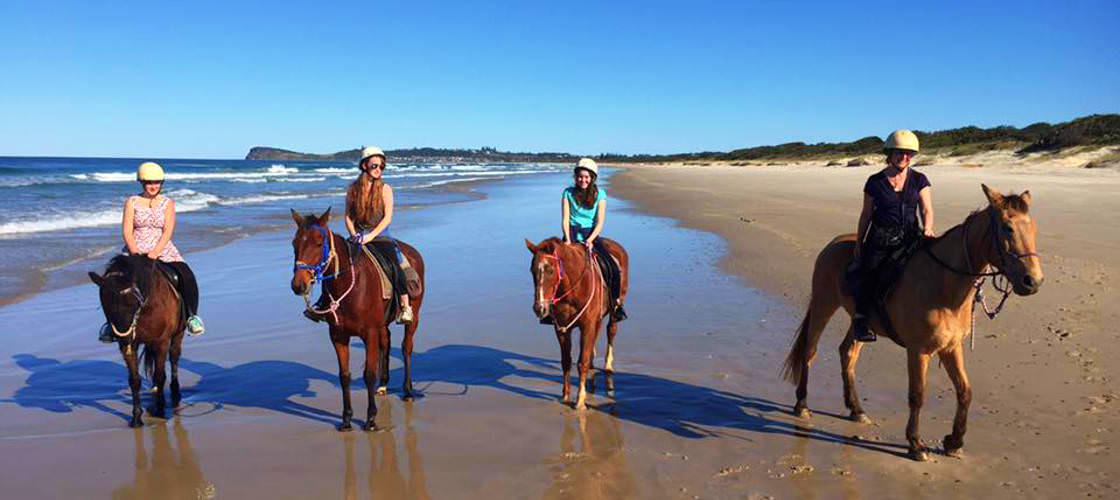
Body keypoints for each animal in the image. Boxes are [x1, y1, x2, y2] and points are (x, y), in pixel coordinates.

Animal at [89, 254, 186, 427]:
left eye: (131, 302)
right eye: (105, 304)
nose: (123, 336)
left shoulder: (161, 342)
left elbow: (160, 376)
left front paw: (160, 411)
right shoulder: (129, 346)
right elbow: (134, 380)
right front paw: (136, 418)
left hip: (177, 334)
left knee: (174, 357)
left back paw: (175, 392)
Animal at [289, 208, 426, 431]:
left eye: (318, 243)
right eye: (294, 243)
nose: (298, 285)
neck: (348, 286)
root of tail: (413, 252)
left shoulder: (369, 333)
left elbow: (369, 373)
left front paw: (370, 419)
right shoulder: (338, 336)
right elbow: (344, 376)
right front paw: (346, 419)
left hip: (413, 317)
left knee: (406, 347)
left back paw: (407, 390)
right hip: (381, 325)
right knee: (386, 342)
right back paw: (384, 385)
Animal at [525, 237, 629, 410]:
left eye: (550, 270)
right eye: (532, 270)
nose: (539, 308)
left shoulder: (586, 326)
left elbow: (582, 362)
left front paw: (580, 401)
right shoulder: (561, 328)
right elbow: (566, 361)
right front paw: (565, 396)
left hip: (615, 308)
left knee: (611, 330)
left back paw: (608, 365)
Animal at [781, 184, 1044, 461]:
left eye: (1034, 228)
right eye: (1008, 228)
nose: (1033, 281)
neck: (944, 284)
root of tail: (833, 243)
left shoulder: (951, 348)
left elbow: (965, 391)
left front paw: (954, 441)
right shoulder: (919, 351)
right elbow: (917, 395)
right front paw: (916, 443)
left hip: (860, 321)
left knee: (848, 353)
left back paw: (856, 410)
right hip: (824, 305)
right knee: (809, 352)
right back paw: (802, 405)